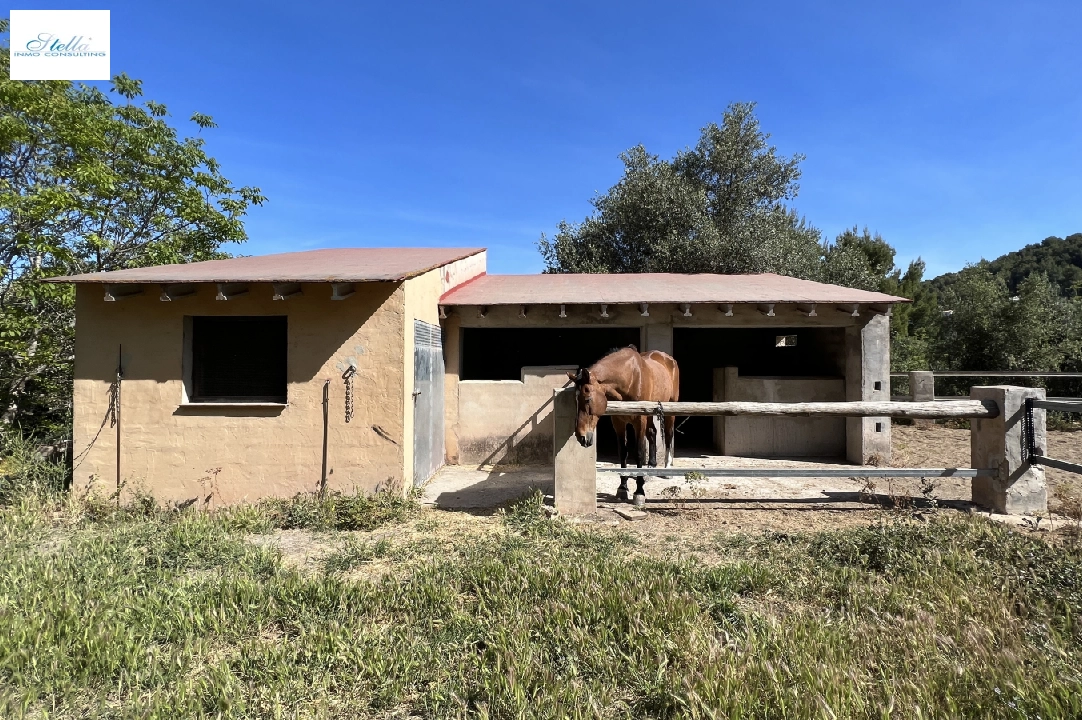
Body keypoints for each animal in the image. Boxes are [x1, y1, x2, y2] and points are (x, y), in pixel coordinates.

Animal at [566, 346, 675, 500]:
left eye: (587, 399)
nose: (581, 436)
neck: (631, 378)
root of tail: (667, 358)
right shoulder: (618, 421)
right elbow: (623, 453)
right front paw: (623, 488)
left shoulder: (639, 421)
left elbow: (639, 453)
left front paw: (639, 491)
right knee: (652, 432)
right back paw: (651, 466)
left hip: (670, 407)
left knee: (669, 434)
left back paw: (668, 468)